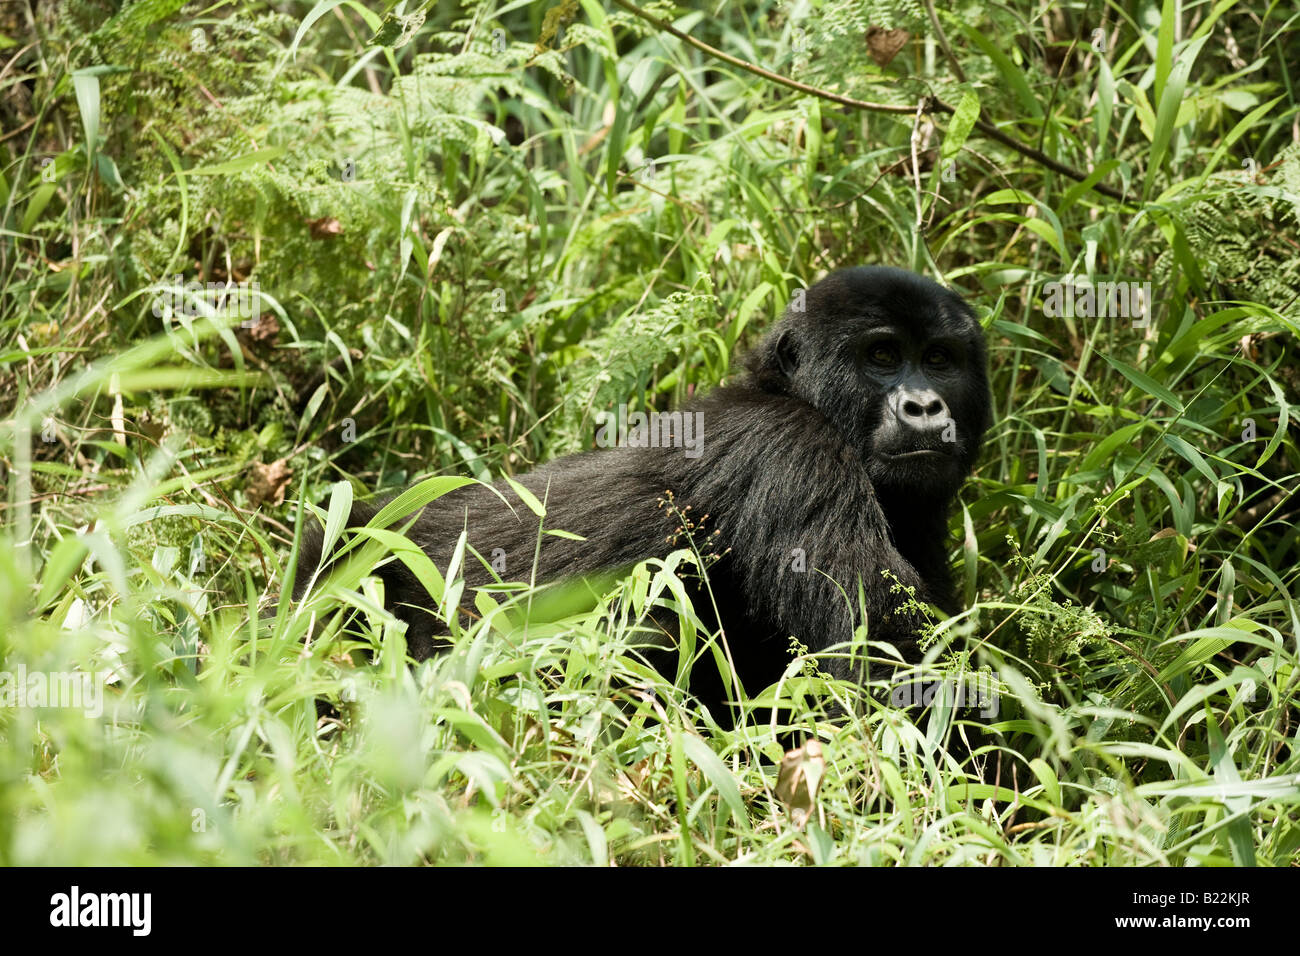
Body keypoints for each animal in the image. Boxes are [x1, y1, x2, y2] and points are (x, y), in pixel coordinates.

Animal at [292, 265, 982, 707]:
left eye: (940, 359)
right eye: (882, 357)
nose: (925, 407)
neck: (787, 391)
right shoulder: (795, 449)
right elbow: (886, 663)